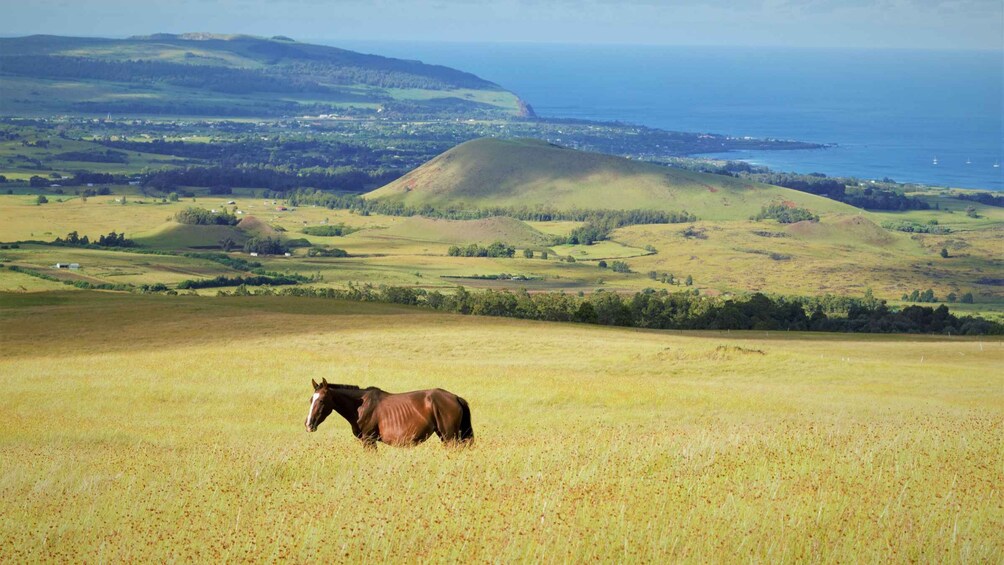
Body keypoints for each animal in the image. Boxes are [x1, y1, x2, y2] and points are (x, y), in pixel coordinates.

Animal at [301, 379, 473, 451]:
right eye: (310, 399)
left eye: (321, 400)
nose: (308, 425)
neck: (360, 406)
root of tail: (455, 397)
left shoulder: (369, 440)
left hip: (449, 437)